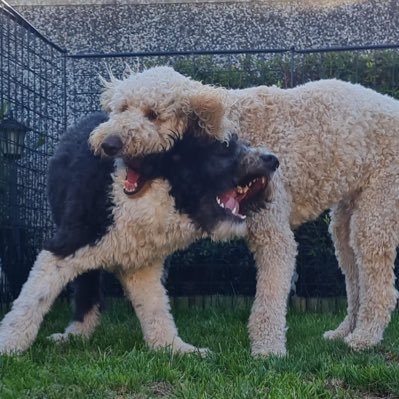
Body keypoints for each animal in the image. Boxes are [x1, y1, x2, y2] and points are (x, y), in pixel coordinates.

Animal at [0, 111, 278, 354]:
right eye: (224, 146)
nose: (273, 159)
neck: (152, 196)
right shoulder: (66, 244)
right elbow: (32, 299)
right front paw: (8, 345)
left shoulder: (142, 267)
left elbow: (157, 311)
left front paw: (175, 349)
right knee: (86, 289)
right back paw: (75, 335)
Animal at [90, 67, 399, 358]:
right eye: (121, 108)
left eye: (153, 114)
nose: (109, 143)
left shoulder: (274, 236)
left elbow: (269, 299)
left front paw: (268, 349)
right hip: (345, 221)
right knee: (354, 273)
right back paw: (344, 331)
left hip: (377, 210)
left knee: (381, 284)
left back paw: (365, 337)